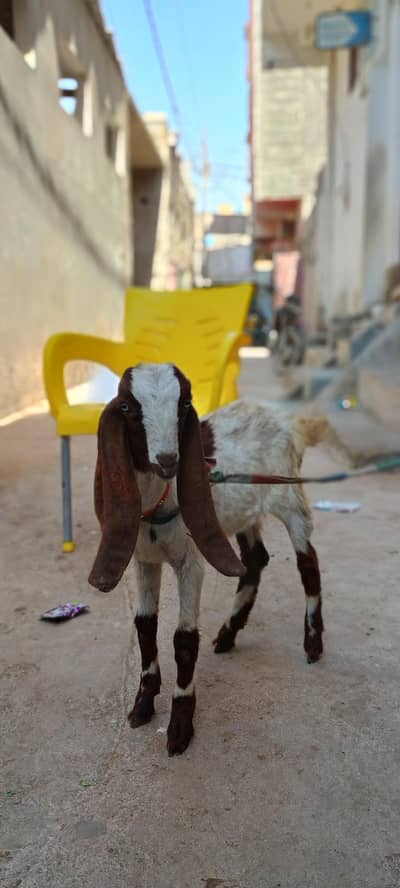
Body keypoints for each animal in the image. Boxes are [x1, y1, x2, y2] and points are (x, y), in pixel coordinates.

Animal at [89, 362, 327, 756]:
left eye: (184, 404)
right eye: (127, 407)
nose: (168, 461)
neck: (161, 501)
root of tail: (291, 421)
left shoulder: (191, 563)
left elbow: (184, 639)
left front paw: (180, 727)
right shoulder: (144, 560)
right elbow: (145, 626)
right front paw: (143, 704)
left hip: (289, 498)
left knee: (307, 562)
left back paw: (312, 642)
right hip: (241, 514)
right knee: (255, 560)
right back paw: (229, 634)